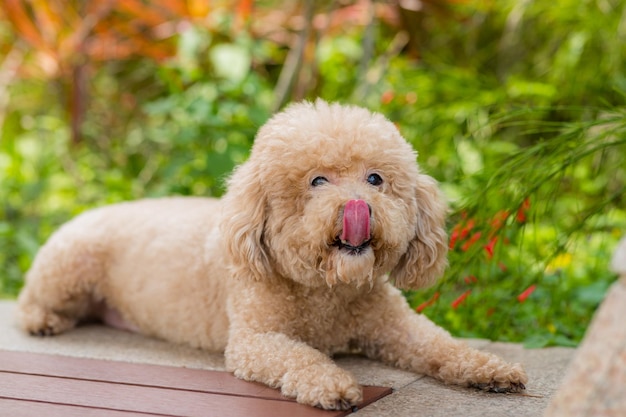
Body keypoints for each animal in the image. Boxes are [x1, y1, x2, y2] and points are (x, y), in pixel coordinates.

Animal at [18, 99, 528, 408]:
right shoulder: (255, 340)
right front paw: (332, 383)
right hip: (67, 268)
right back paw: (43, 321)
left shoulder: (396, 327)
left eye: (376, 179)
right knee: (30, 301)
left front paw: (491, 369)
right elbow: (300, 358)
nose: (357, 208)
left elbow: (441, 344)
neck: (329, 291)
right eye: (317, 181)